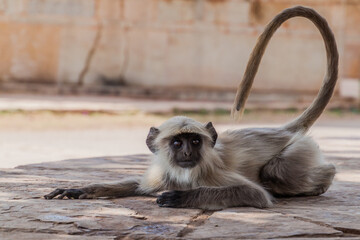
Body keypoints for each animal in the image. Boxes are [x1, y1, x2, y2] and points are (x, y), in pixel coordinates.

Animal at [44, 6, 338, 210]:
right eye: (177, 142)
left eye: (195, 141)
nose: (187, 152)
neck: (183, 174)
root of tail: (282, 130)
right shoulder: (161, 175)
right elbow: (138, 186)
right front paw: (80, 189)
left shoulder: (212, 175)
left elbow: (254, 194)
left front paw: (183, 198)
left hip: (300, 150)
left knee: (278, 172)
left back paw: (325, 178)